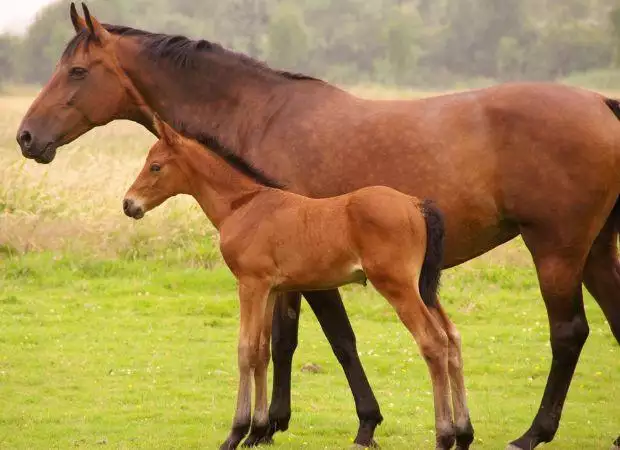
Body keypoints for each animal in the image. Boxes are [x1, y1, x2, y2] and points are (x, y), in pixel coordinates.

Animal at [123, 117, 464, 450]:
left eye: (156, 166)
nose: (129, 204)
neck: (243, 205)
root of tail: (416, 205)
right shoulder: (271, 290)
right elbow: (262, 350)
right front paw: (257, 431)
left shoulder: (250, 285)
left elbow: (245, 350)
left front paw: (236, 433)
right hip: (423, 288)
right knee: (452, 338)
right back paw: (463, 433)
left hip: (398, 286)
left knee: (433, 341)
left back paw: (444, 436)